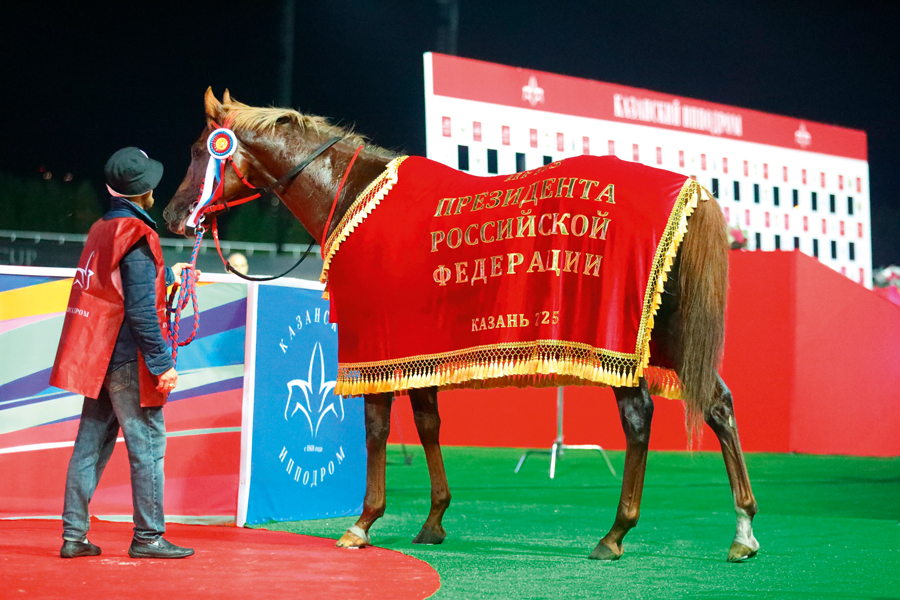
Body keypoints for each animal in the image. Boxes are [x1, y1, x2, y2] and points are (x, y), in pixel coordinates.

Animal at [164, 89, 759, 562]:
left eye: (200, 149)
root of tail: (690, 193)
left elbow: (377, 430)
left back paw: (616, 533)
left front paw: (363, 522)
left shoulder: (373, 344)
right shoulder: (415, 351)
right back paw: (743, 528)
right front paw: (434, 520)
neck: (355, 195)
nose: (171, 216)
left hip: (620, 337)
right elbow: (429, 425)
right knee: (720, 404)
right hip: (666, 334)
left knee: (640, 419)